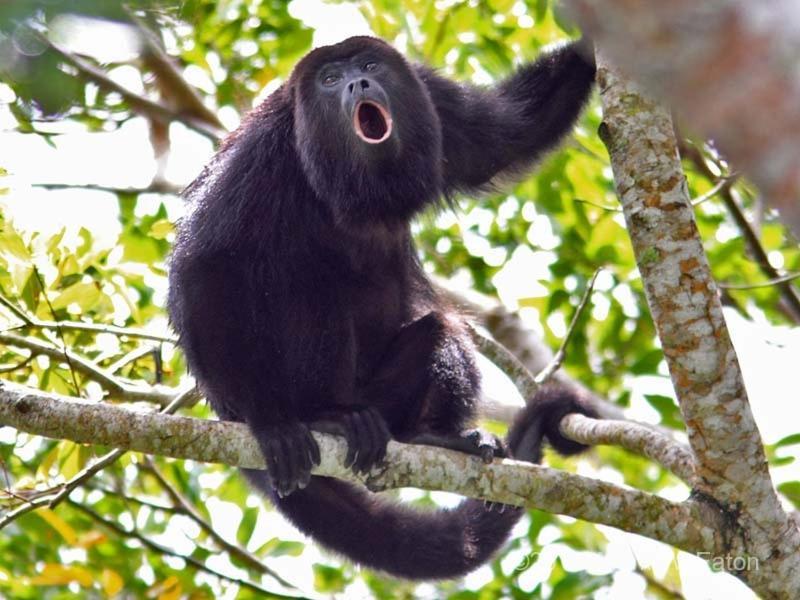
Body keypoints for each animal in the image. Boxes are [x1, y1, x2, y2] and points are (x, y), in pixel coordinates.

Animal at [167, 35, 592, 580]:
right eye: (330, 80)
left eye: (369, 65)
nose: (358, 83)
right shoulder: (260, 154)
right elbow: (205, 264)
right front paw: (265, 420)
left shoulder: (431, 96)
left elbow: (507, 134)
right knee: (313, 286)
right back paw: (323, 415)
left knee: (442, 331)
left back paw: (433, 437)